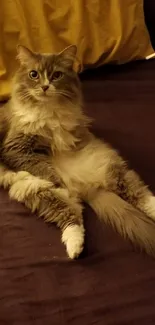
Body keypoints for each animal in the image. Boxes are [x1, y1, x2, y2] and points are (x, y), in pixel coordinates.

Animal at [0, 45, 155, 258]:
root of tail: (82, 187)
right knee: (72, 217)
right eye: (34, 74)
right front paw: (55, 178)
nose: (45, 87)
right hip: (38, 191)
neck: (47, 109)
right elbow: (45, 169)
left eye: (56, 75)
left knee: (140, 194)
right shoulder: (16, 149)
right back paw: (75, 248)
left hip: (109, 168)